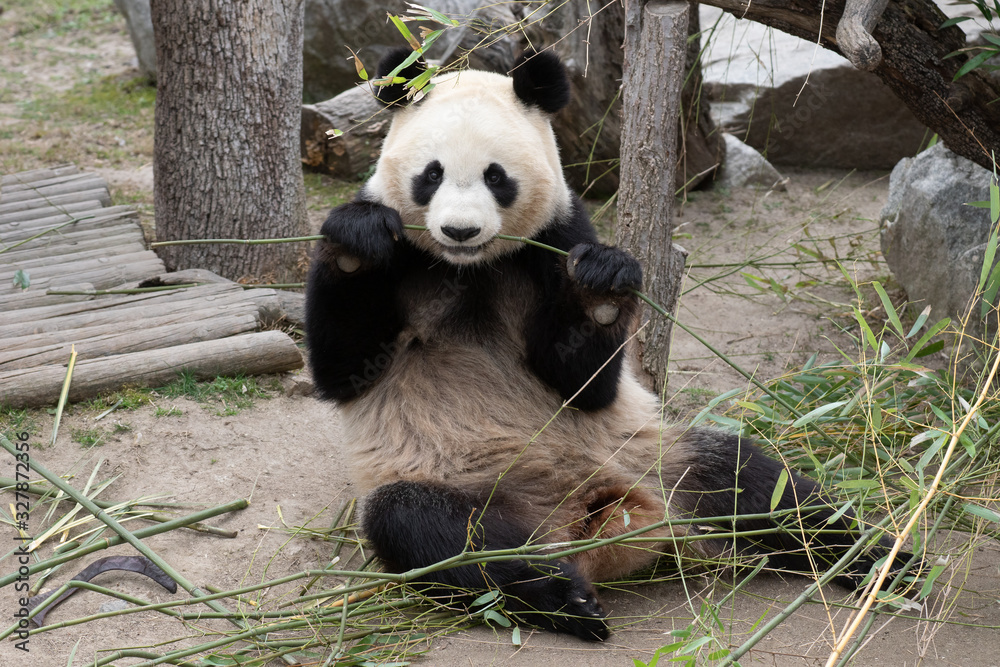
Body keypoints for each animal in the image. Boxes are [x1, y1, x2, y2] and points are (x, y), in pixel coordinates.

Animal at [305, 48, 901, 640]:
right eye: (432, 174)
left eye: (496, 177)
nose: (459, 231)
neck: (469, 269)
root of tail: (596, 524)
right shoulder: (403, 260)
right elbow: (343, 369)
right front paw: (358, 244)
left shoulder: (558, 237)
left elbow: (583, 381)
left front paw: (604, 284)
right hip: (465, 484)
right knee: (434, 532)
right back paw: (565, 597)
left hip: (655, 457)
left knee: (757, 483)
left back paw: (879, 561)